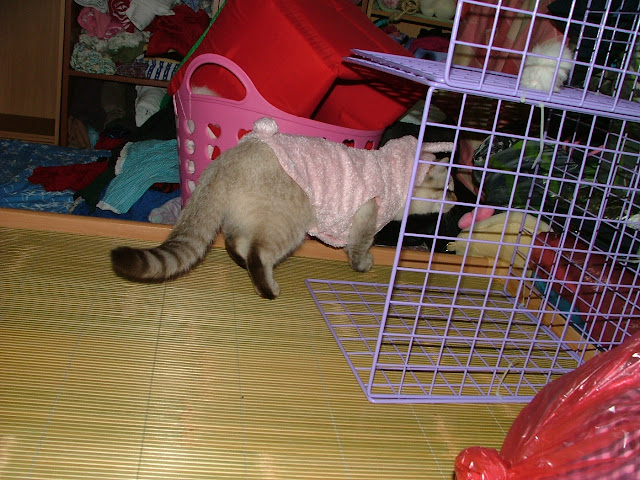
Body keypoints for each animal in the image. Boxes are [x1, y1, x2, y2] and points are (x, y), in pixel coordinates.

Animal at [111, 118, 455, 299]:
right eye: (449, 188)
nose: (457, 202)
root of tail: (226, 161)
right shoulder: (366, 217)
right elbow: (359, 249)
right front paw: (364, 265)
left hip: (249, 218)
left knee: (234, 242)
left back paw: (242, 263)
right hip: (291, 223)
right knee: (258, 254)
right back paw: (268, 289)